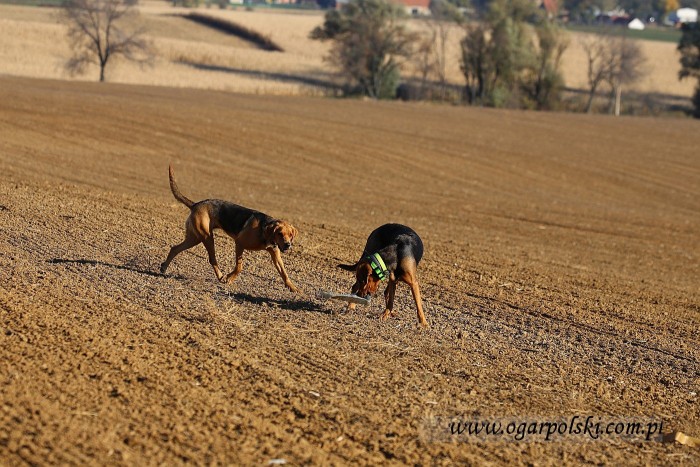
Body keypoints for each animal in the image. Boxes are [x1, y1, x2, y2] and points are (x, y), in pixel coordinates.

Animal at [160, 165, 300, 292]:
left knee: (175, 248)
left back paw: (164, 267)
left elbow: (284, 273)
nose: (288, 245)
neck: (264, 230)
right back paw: (221, 276)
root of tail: (195, 204)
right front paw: (230, 278)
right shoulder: (239, 243)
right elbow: (239, 267)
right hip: (206, 237)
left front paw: (293, 288)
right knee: (212, 259)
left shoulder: (275, 254)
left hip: (194, 238)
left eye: (290, 235)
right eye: (280, 233)